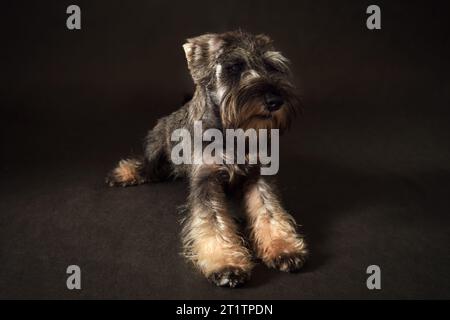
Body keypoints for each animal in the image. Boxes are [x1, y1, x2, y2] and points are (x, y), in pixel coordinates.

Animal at [107, 30, 308, 288]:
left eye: (272, 66)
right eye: (234, 67)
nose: (275, 101)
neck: (233, 133)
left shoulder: (259, 175)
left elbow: (269, 212)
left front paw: (283, 248)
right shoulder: (206, 180)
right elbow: (213, 221)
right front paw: (227, 263)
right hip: (156, 147)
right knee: (147, 166)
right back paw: (125, 173)